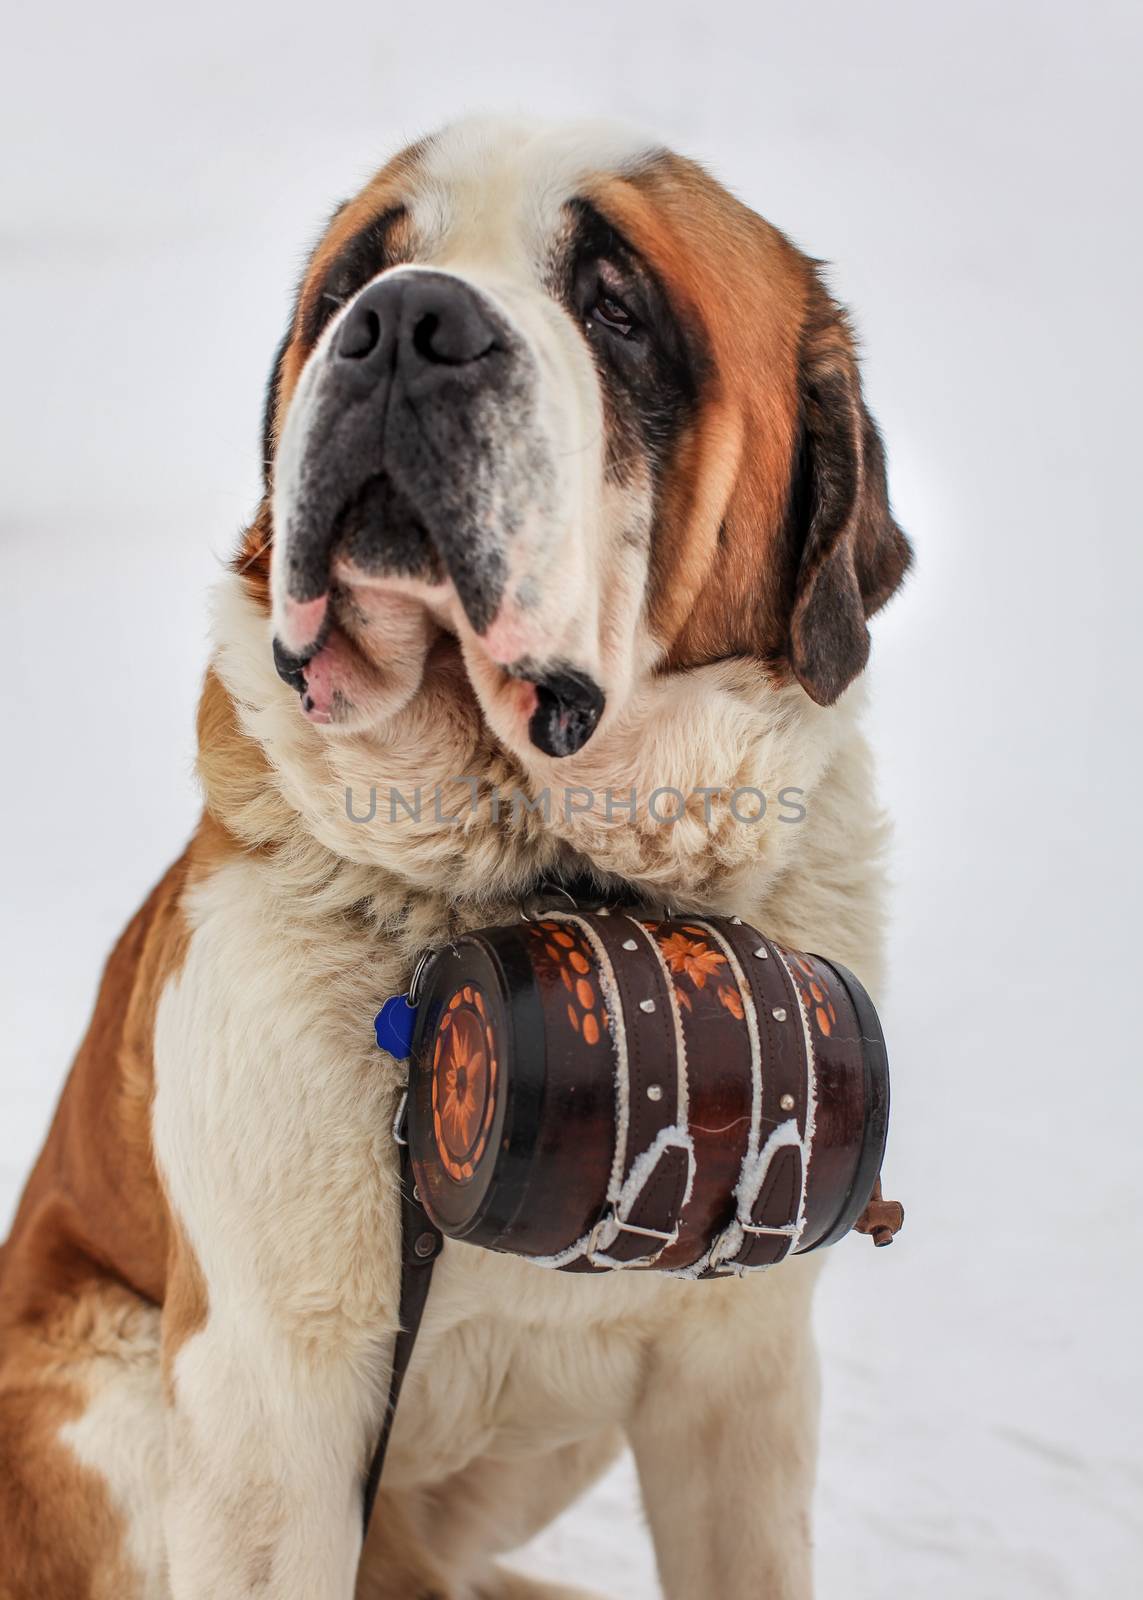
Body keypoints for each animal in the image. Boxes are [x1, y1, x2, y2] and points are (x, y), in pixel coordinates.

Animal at [0, 116, 909, 1600]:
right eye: (352, 284)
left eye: (616, 308)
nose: (403, 323)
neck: (537, 875)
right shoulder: (266, 1402)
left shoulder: (743, 1383)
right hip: (114, 1404)